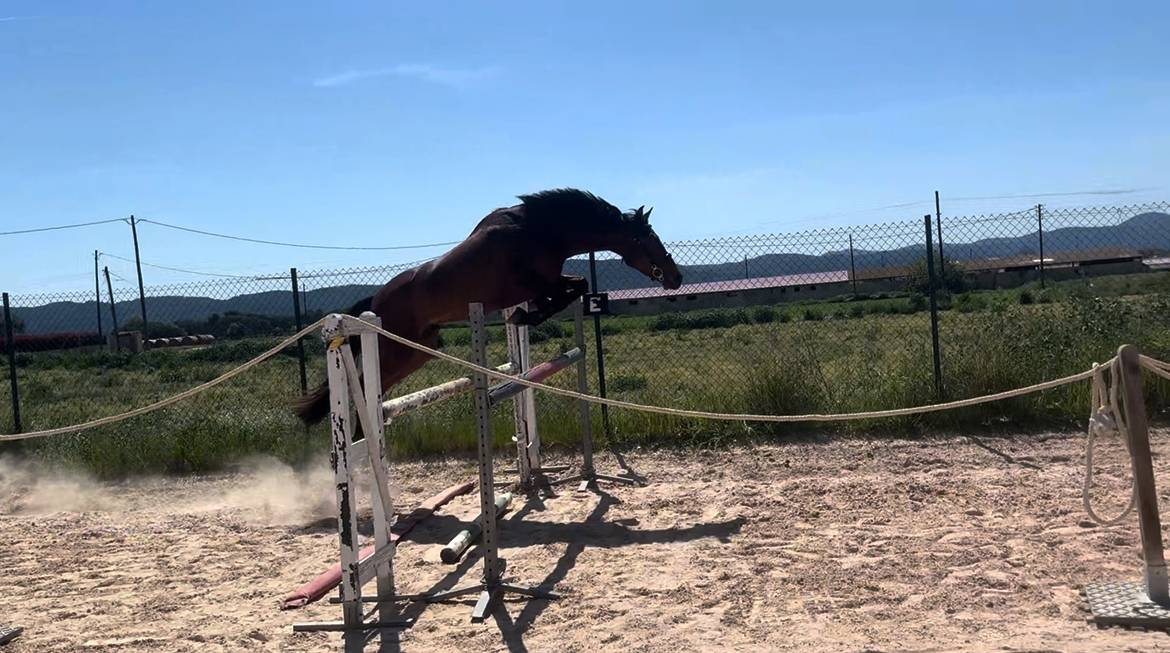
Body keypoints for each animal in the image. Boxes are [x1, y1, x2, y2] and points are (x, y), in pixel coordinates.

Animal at [292, 187, 683, 427]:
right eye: (648, 239)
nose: (676, 277)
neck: (538, 231)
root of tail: (375, 302)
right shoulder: (531, 283)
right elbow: (569, 289)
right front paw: (528, 314)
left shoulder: (549, 280)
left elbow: (576, 287)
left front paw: (528, 315)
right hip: (395, 350)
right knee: (361, 385)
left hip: (417, 351)